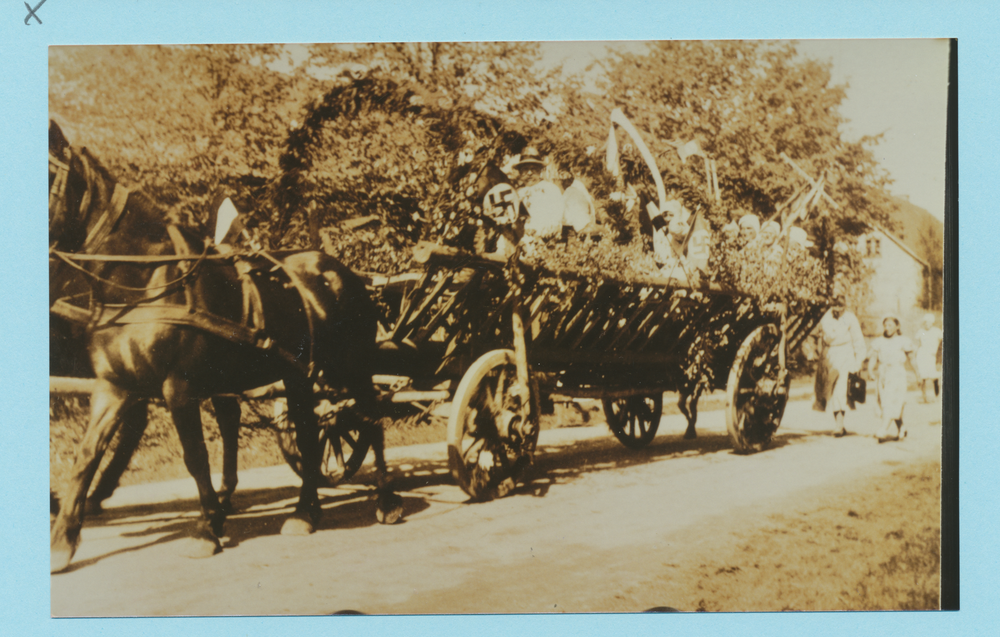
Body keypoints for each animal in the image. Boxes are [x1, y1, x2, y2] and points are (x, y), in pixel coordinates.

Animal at [48, 120, 402, 572]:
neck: (145, 282)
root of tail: (340, 270)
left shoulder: (178, 388)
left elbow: (195, 457)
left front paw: (206, 529)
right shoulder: (115, 386)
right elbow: (85, 457)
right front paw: (63, 540)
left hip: (350, 367)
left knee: (371, 417)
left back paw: (387, 500)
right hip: (298, 375)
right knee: (309, 433)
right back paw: (305, 512)